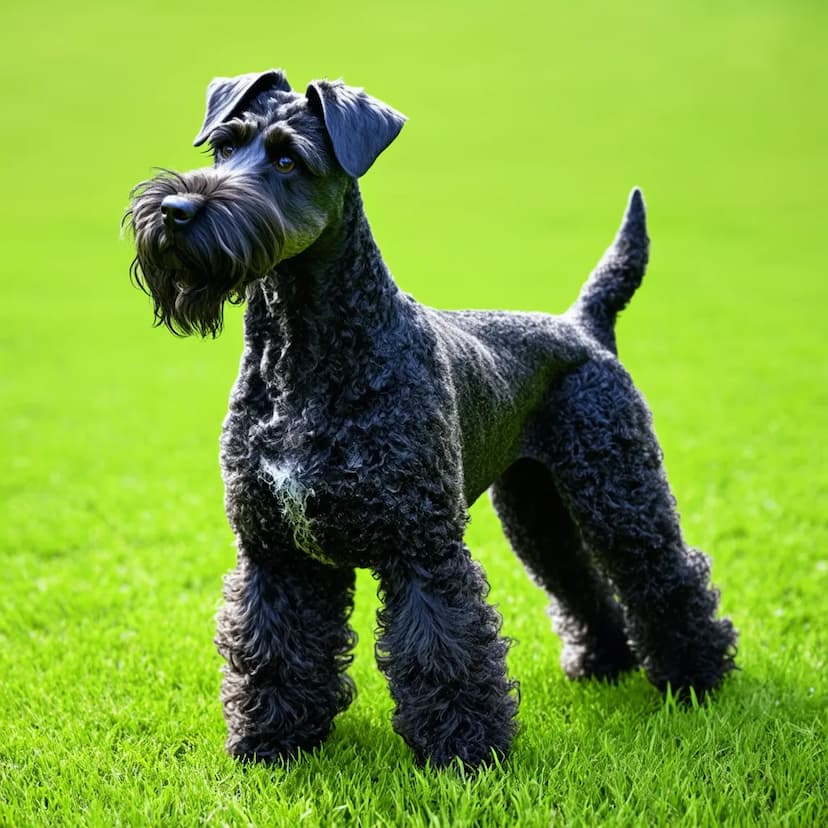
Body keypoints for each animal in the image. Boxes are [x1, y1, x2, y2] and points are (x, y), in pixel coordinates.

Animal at [124, 68, 736, 768]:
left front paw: (464, 751)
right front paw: (272, 740)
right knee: (579, 582)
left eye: (286, 159)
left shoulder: (420, 544)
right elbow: (274, 647)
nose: (176, 210)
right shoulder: (276, 550)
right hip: (537, 512)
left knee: (665, 574)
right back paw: (603, 662)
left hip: (621, 496)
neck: (304, 355)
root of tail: (584, 325)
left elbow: (444, 645)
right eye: (223, 146)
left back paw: (696, 677)